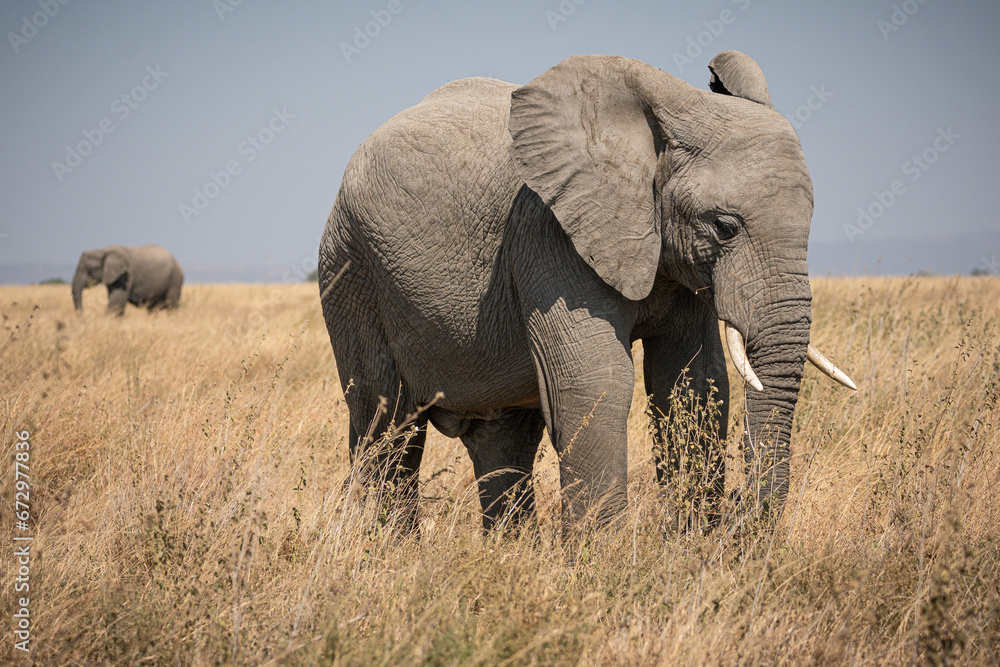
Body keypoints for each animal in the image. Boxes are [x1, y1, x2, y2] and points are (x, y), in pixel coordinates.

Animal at [318, 51, 855, 533]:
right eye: (724, 227)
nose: (741, 513)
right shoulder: (548, 232)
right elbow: (597, 379)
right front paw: (607, 563)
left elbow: (693, 381)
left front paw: (692, 546)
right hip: (351, 268)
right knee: (386, 422)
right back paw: (388, 548)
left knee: (503, 437)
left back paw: (511, 553)